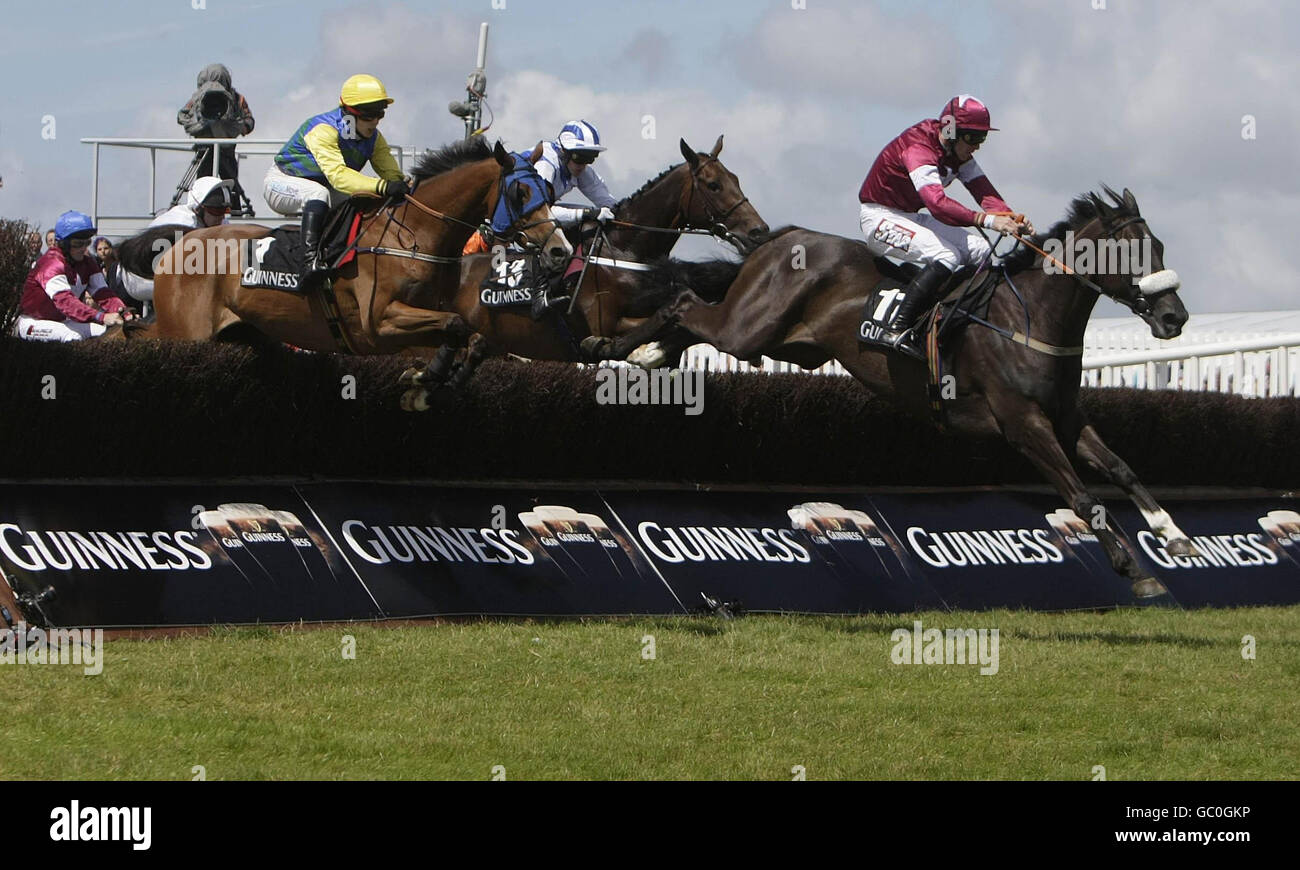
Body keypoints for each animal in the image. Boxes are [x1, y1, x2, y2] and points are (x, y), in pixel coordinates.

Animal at [144, 141, 566, 358]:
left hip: (246, 334)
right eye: (520, 191)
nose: (559, 250)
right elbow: (457, 325)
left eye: (548, 191)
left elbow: (469, 335)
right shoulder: (378, 323)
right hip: (187, 333)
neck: (413, 236)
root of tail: (177, 246)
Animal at [392, 135, 759, 408]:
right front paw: (633, 350)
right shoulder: (603, 322)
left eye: (736, 179)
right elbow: (623, 339)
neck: (622, 252)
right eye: (713, 184)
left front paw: (653, 352)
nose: (759, 230)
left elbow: (680, 329)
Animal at [631, 187, 1196, 600]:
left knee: (691, 313)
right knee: (683, 303)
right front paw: (1133, 569)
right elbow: (1080, 494)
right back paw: (634, 351)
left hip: (787, 345)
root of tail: (778, 240)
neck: (1029, 317)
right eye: (1129, 251)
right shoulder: (1022, 423)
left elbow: (1122, 468)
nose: (1175, 317)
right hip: (748, 331)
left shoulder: (1065, 415)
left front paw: (1174, 535)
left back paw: (652, 353)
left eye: (1160, 247)